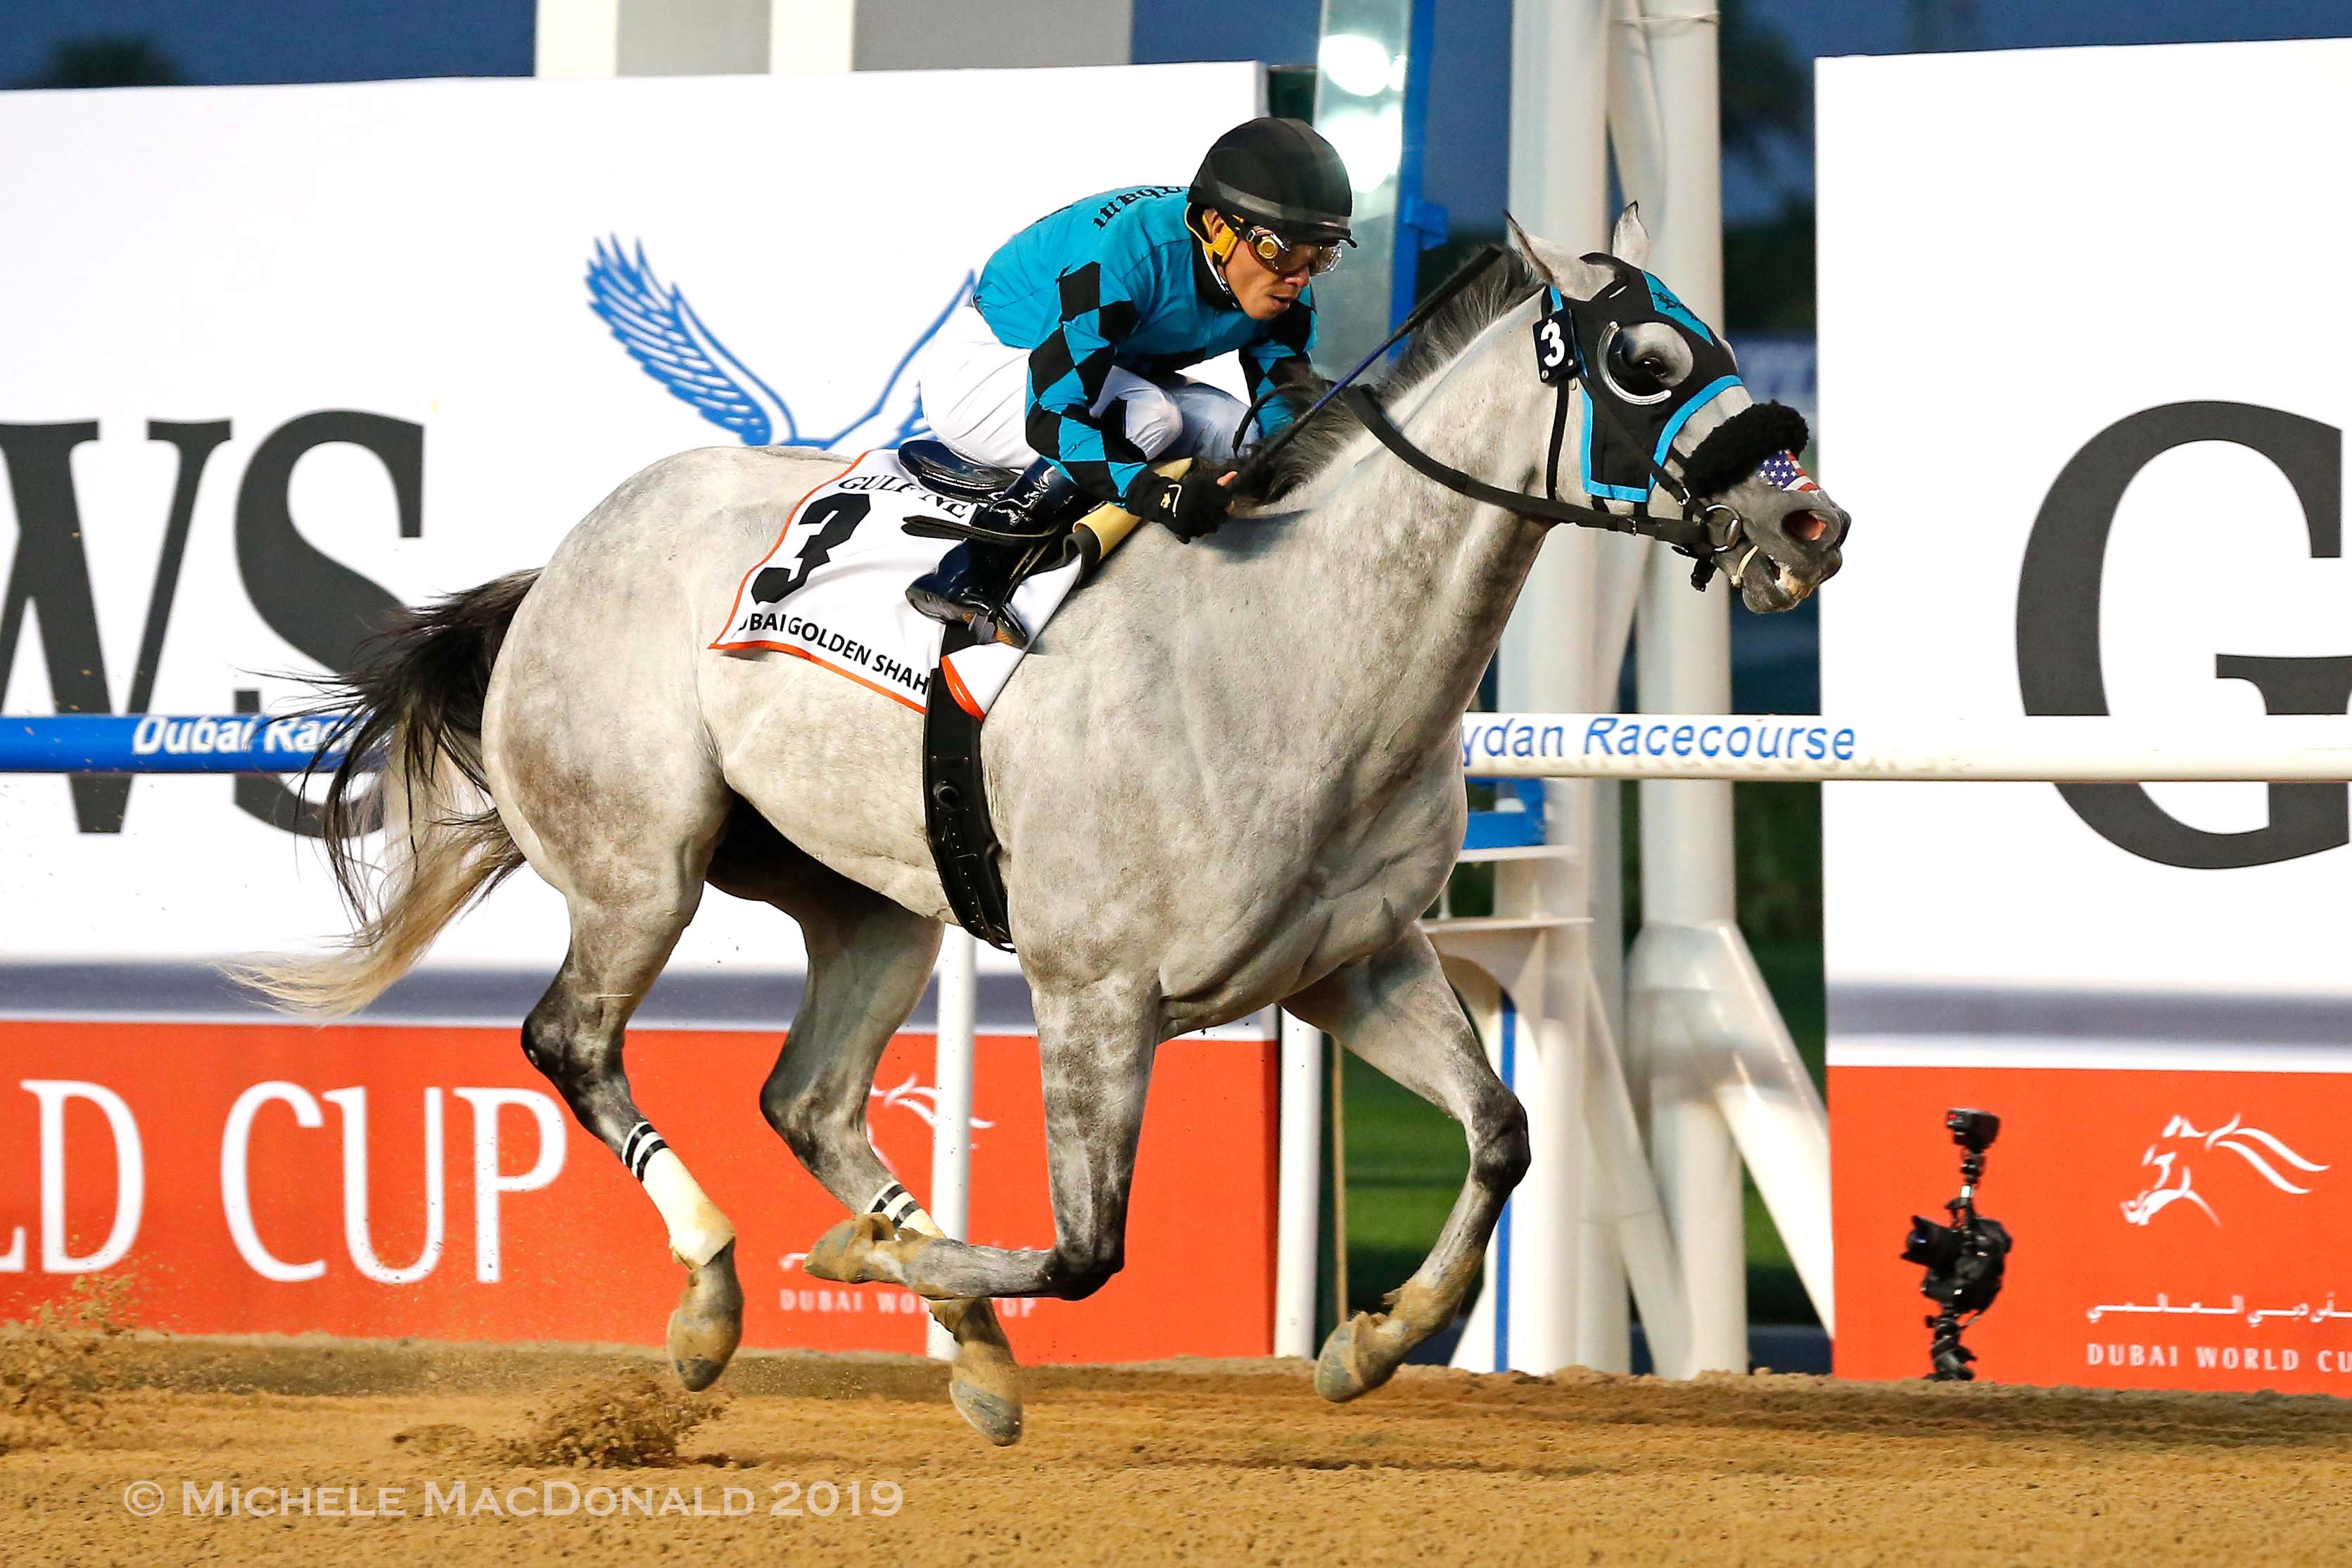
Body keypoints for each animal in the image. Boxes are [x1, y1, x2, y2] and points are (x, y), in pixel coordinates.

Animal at [248, 211, 1843, 1448]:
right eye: (1647, 362)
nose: (1809, 524)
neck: (1291, 647)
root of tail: (566, 557)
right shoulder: (1094, 993)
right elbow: (1085, 1253)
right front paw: (863, 1260)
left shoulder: (1352, 962)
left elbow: (1502, 1133)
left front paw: (1372, 1340)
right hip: (643, 864)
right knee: (572, 1041)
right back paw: (715, 1296)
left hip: (874, 904)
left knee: (808, 1098)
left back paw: (962, 1338)